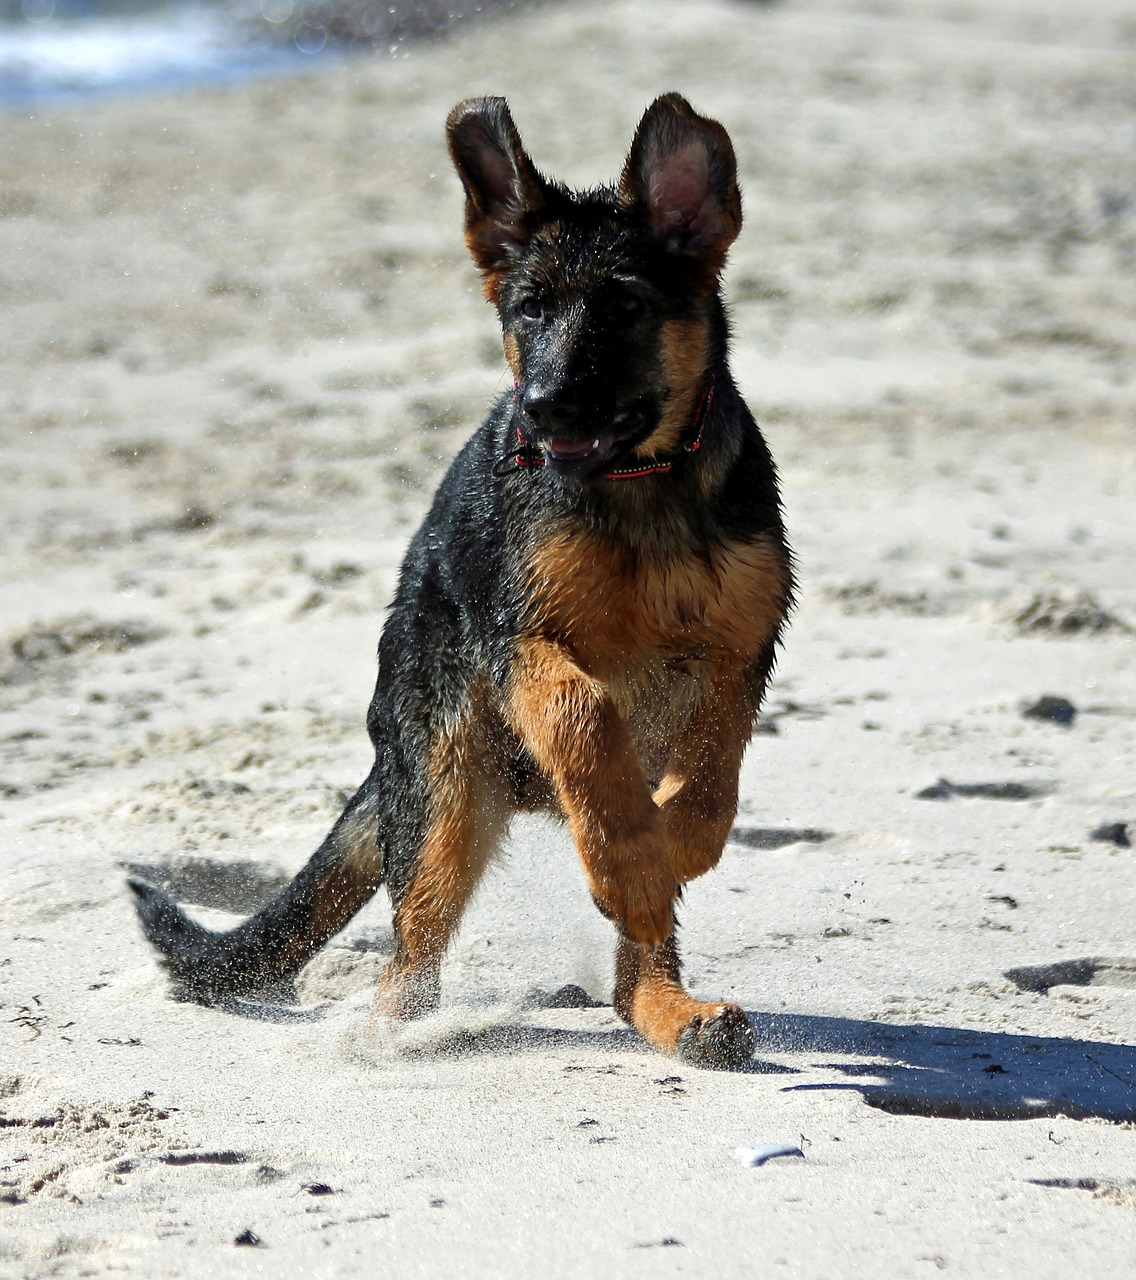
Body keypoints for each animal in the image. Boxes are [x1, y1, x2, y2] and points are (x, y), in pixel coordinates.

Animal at [128, 92, 788, 1070]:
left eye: (626, 305)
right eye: (529, 310)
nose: (544, 408)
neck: (642, 487)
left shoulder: (740, 648)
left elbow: (713, 768)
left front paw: (674, 844)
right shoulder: (518, 640)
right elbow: (583, 713)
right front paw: (631, 856)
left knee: (631, 965)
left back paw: (673, 1006)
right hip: (445, 790)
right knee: (408, 961)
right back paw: (392, 1038)